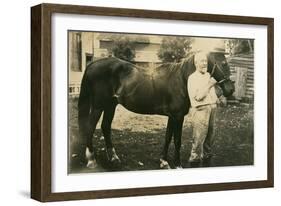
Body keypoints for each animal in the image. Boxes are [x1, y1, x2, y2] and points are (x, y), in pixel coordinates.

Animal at [76, 52, 234, 170]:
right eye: (224, 63)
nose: (230, 89)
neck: (182, 79)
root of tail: (92, 65)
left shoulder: (172, 116)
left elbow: (168, 137)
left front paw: (163, 161)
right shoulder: (178, 117)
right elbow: (177, 140)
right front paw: (177, 164)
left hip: (110, 105)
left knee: (105, 127)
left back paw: (114, 158)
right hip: (98, 106)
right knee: (90, 127)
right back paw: (91, 160)